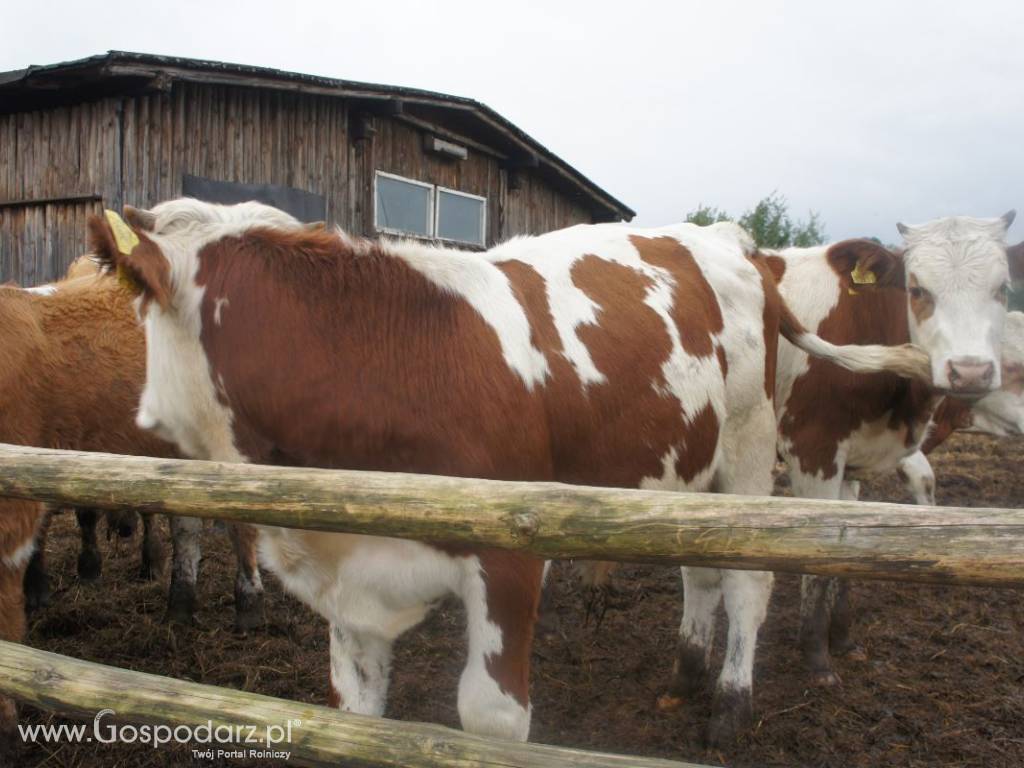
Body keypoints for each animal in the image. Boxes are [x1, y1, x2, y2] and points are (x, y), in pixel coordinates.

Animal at [92, 201, 929, 749]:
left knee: (750, 581)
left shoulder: (512, 556)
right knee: (701, 569)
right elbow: (355, 708)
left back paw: (729, 704)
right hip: (695, 466)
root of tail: (732, 243)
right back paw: (686, 674)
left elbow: (490, 719)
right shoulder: (349, 576)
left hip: (753, 447)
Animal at [770, 215, 1019, 684]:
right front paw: (816, 659)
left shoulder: (852, 463)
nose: (970, 371)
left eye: (1003, 287)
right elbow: (816, 553)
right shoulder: (812, 449)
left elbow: (844, 550)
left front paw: (843, 641)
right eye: (916, 288)